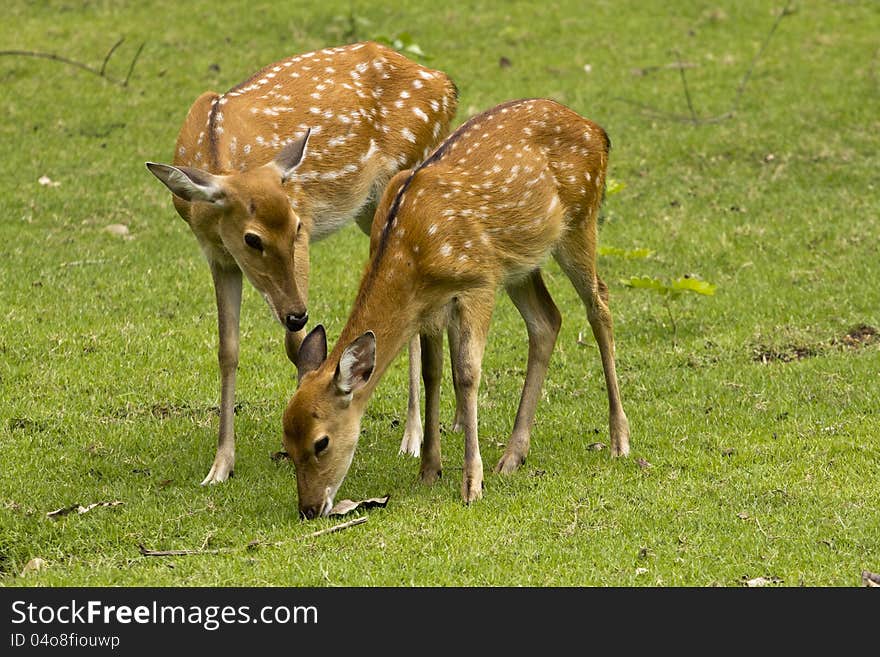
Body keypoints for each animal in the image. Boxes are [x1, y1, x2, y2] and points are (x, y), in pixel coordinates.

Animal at [143, 41, 460, 482]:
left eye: (294, 226)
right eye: (252, 239)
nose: (296, 313)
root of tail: (446, 85)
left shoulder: (305, 226)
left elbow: (297, 344)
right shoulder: (217, 257)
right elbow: (227, 350)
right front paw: (220, 466)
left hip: (407, 173)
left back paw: (412, 439)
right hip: (369, 210)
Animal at [286, 97, 628, 516]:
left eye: (321, 442)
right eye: (286, 444)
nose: (309, 508)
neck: (410, 252)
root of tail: (599, 131)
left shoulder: (477, 284)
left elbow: (466, 374)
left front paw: (471, 484)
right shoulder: (430, 304)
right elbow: (432, 373)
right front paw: (429, 469)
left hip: (580, 220)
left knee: (600, 304)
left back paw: (619, 440)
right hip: (519, 263)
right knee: (547, 320)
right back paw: (513, 456)